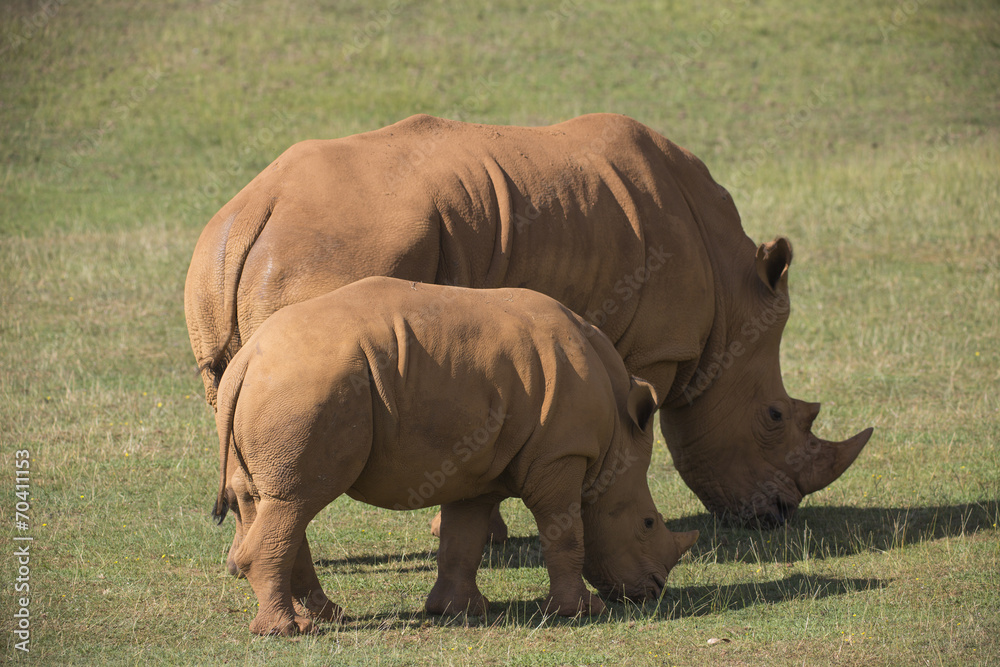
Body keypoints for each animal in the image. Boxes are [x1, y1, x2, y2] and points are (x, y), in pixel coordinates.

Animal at [186, 113, 872, 527]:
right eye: (775, 417)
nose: (779, 515)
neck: (731, 303)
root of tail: (255, 212)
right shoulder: (656, 348)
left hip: (221, 257)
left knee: (230, 400)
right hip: (338, 245)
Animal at [212, 277, 699, 635]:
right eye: (648, 523)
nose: (654, 591)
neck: (615, 436)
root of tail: (247, 360)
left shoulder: (476, 468)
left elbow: (463, 538)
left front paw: (460, 611)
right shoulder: (561, 455)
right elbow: (565, 531)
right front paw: (581, 612)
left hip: (286, 387)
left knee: (273, 501)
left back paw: (326, 616)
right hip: (306, 386)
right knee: (295, 502)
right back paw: (287, 631)